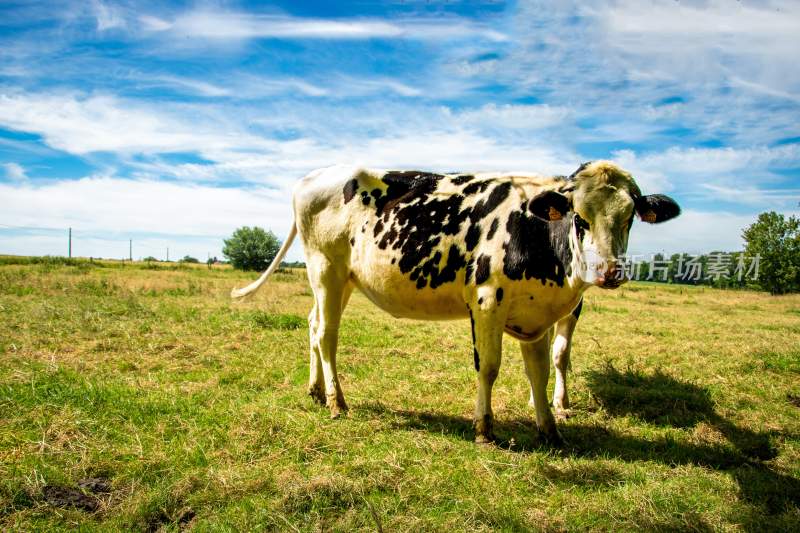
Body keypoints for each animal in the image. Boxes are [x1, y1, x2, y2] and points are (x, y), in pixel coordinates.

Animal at [233, 160, 680, 442]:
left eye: (629, 217)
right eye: (578, 216)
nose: (609, 271)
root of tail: (314, 176)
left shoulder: (537, 316)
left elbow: (539, 372)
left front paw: (550, 429)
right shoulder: (486, 301)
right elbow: (490, 368)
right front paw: (484, 428)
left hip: (342, 281)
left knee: (312, 325)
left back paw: (315, 390)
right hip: (326, 268)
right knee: (327, 335)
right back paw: (336, 402)